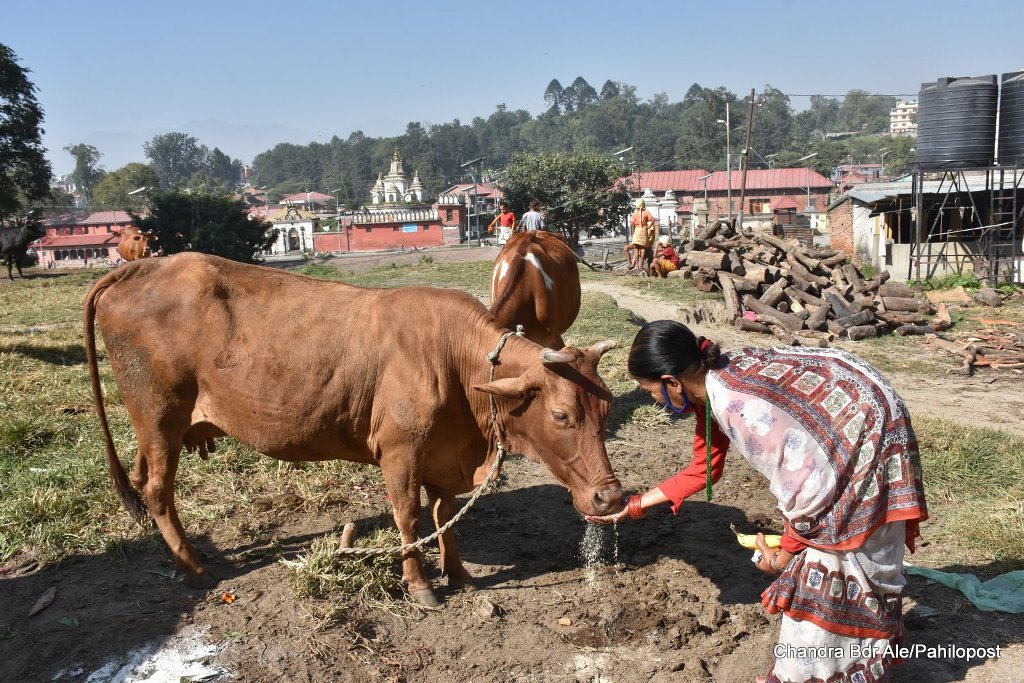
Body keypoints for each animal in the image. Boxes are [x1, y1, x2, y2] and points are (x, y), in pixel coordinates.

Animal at [83, 253, 618, 606]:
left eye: (606, 410)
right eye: (562, 416)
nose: (610, 497)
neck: (453, 357)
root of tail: (143, 267)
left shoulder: (443, 456)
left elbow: (444, 516)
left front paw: (459, 574)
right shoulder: (401, 453)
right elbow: (409, 519)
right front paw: (420, 585)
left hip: (153, 428)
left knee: (141, 479)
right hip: (160, 417)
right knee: (157, 489)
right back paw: (194, 567)